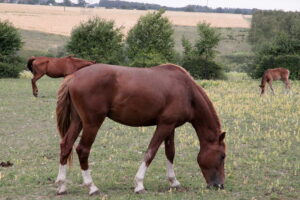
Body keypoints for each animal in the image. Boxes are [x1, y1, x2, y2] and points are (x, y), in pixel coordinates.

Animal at [55, 63, 226, 195]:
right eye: (222, 156)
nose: (220, 185)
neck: (186, 90)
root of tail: (74, 76)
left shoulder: (171, 127)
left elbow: (170, 153)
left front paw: (174, 182)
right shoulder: (164, 125)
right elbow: (151, 152)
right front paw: (139, 184)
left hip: (78, 122)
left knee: (66, 146)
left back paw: (62, 186)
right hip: (92, 123)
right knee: (82, 150)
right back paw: (92, 187)